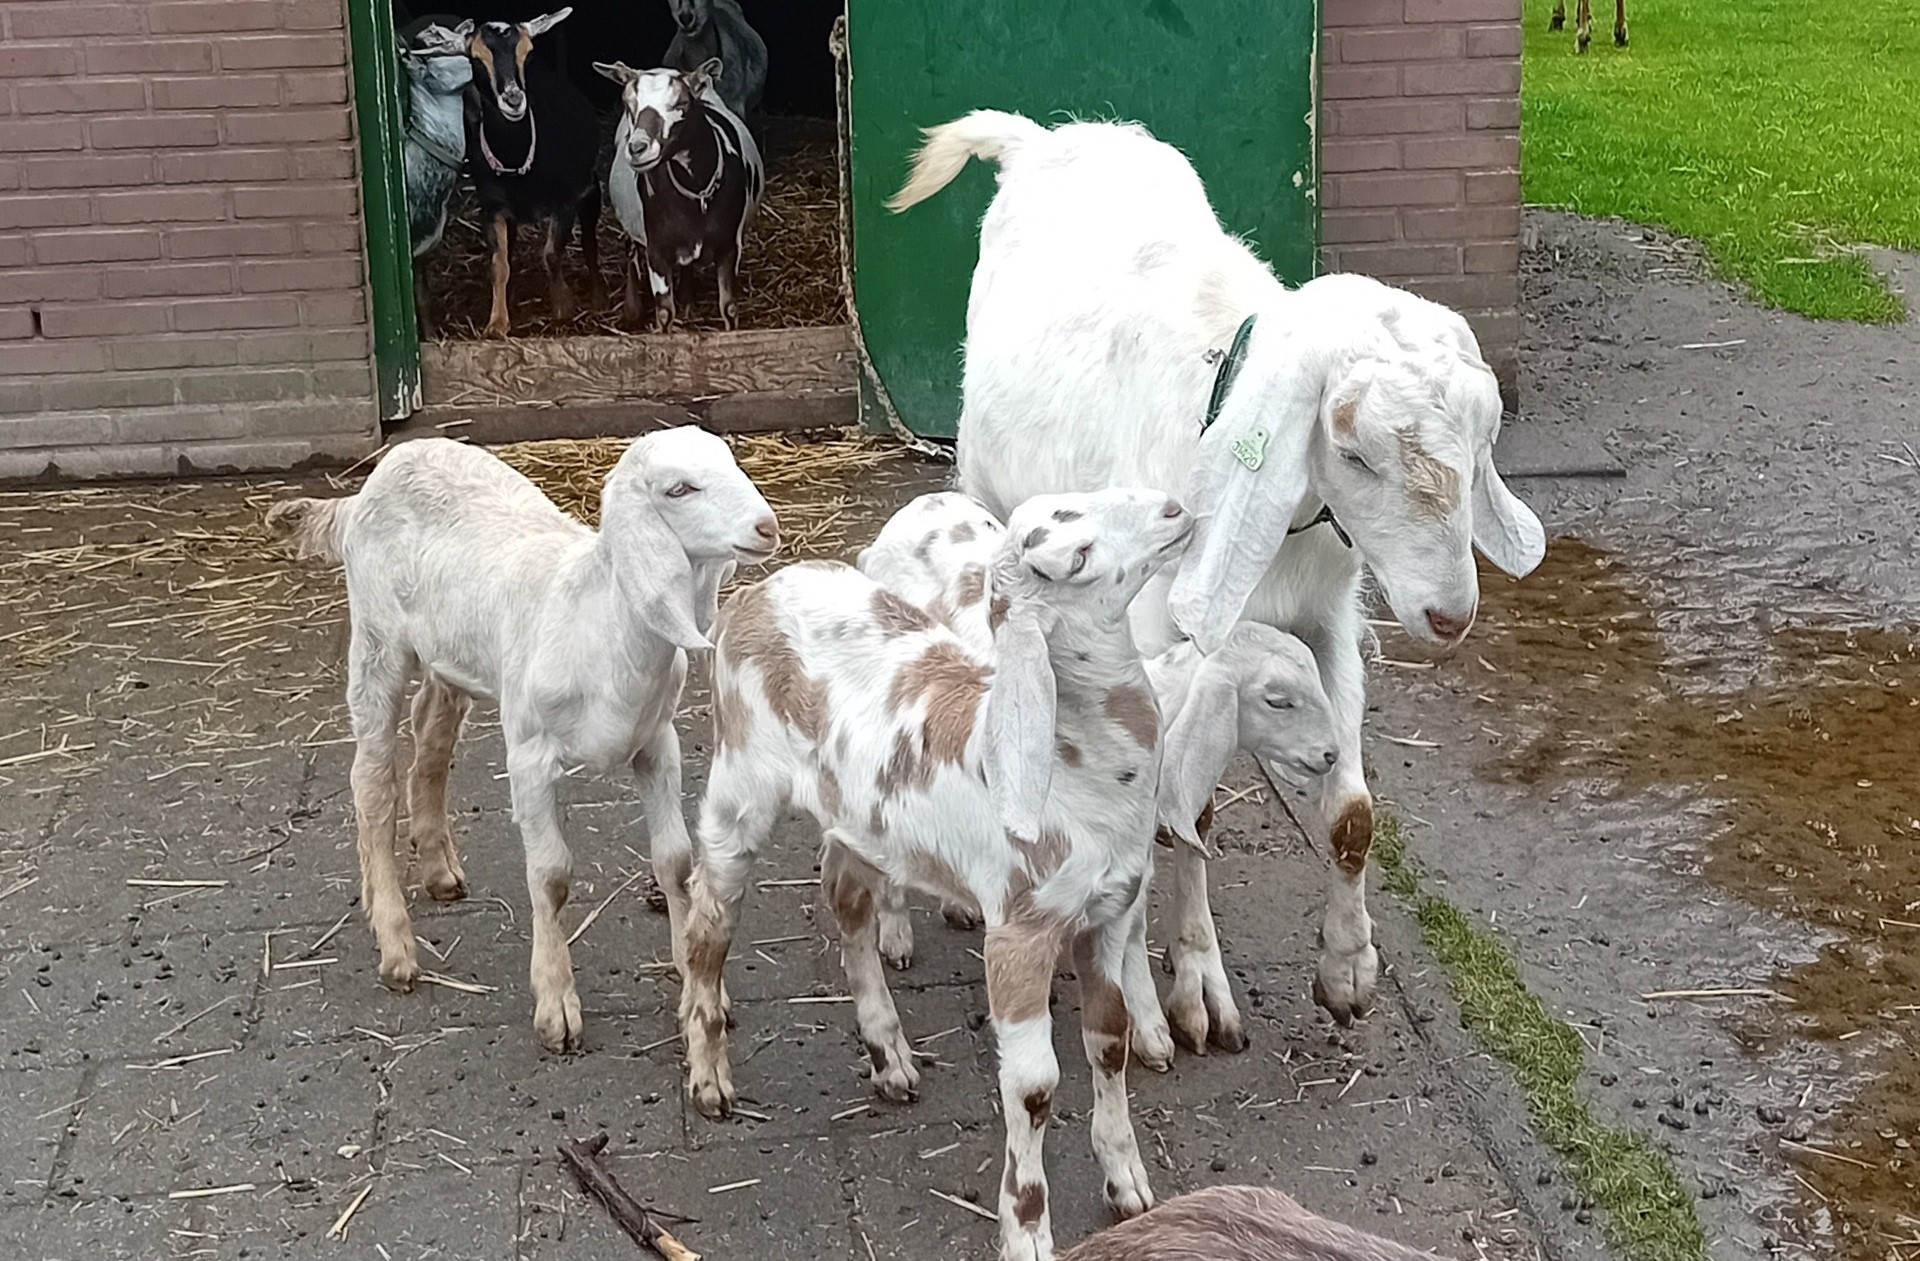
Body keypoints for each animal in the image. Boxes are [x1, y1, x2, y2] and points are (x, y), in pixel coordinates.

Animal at [458, 6, 599, 339]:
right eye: (475, 59)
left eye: (528, 53)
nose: (513, 100)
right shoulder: (493, 207)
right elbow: (499, 264)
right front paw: (497, 323)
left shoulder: (566, 201)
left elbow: (551, 254)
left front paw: (563, 307)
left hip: (591, 188)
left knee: (589, 240)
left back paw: (599, 295)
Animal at [864, 491, 1344, 1059]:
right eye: (1277, 700)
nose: (1331, 754)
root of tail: (920, 505)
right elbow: (1129, 929)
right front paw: (1151, 1027)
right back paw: (895, 932)